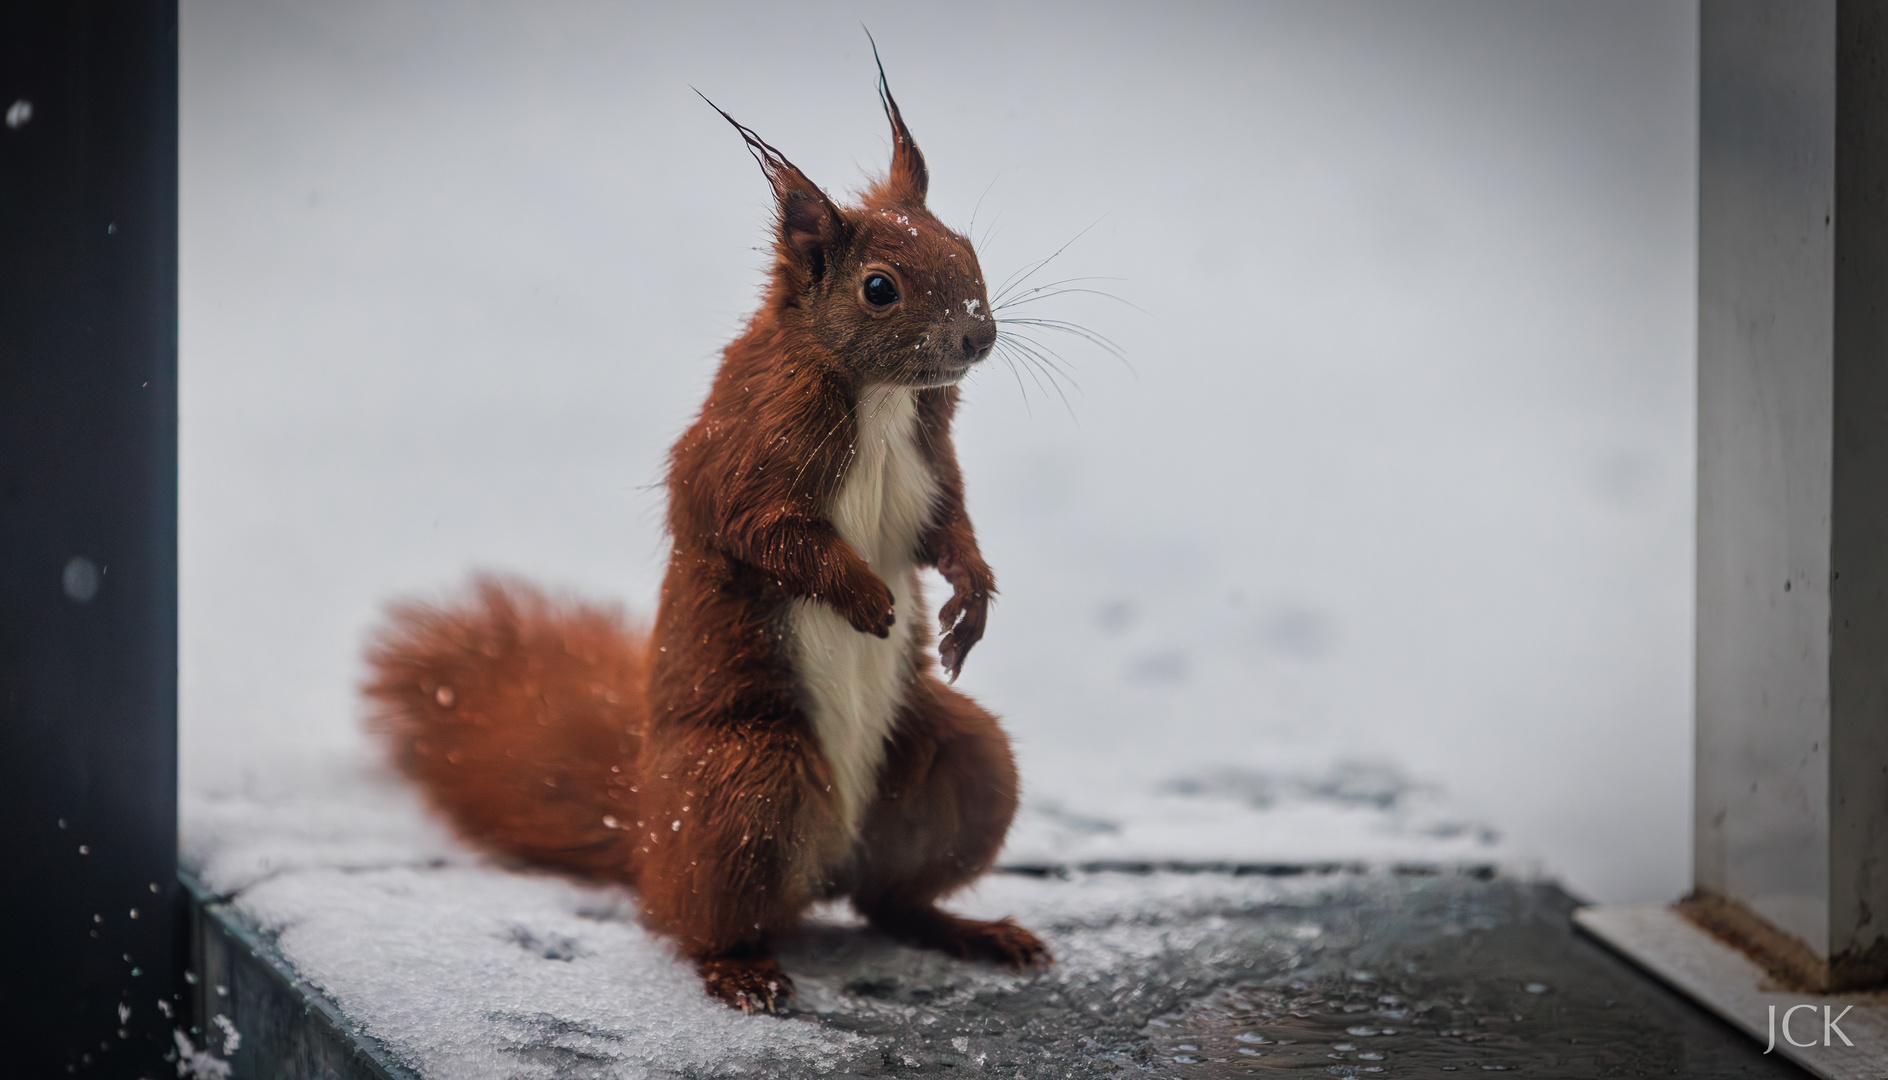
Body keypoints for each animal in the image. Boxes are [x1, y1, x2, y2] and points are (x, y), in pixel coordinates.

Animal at [360, 59, 1049, 1012]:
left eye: (965, 249)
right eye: (879, 286)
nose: (978, 335)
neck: (877, 397)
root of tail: (651, 834)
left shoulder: (931, 458)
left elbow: (949, 530)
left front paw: (971, 600)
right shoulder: (745, 450)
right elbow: (765, 533)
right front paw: (863, 596)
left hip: (961, 761)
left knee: (889, 901)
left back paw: (971, 931)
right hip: (749, 782)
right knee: (706, 920)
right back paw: (741, 969)